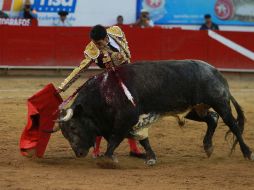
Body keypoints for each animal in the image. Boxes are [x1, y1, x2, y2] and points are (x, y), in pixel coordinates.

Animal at [56, 60, 253, 164]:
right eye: (64, 133)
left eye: (73, 127)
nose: (79, 153)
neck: (103, 93)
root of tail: (215, 72)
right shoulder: (129, 123)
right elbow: (142, 139)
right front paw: (151, 157)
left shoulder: (126, 119)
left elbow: (115, 139)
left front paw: (108, 159)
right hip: (194, 108)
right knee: (212, 118)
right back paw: (208, 146)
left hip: (220, 102)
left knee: (233, 125)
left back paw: (247, 153)